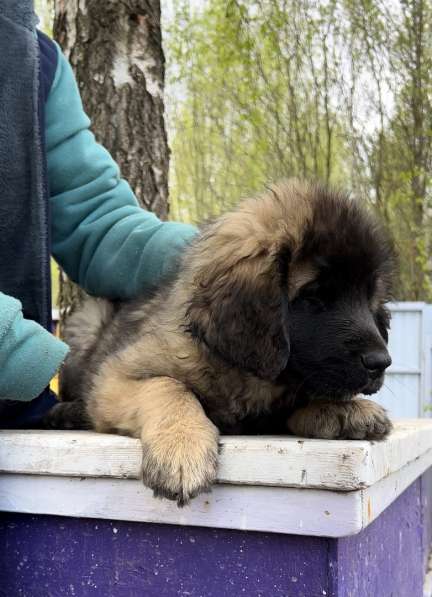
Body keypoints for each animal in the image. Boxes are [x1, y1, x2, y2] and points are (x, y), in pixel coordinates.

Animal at [45, 180, 396, 502]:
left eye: (368, 298)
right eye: (314, 296)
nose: (381, 363)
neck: (244, 373)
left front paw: (343, 411)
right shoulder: (114, 377)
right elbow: (168, 386)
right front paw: (182, 447)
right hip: (87, 324)